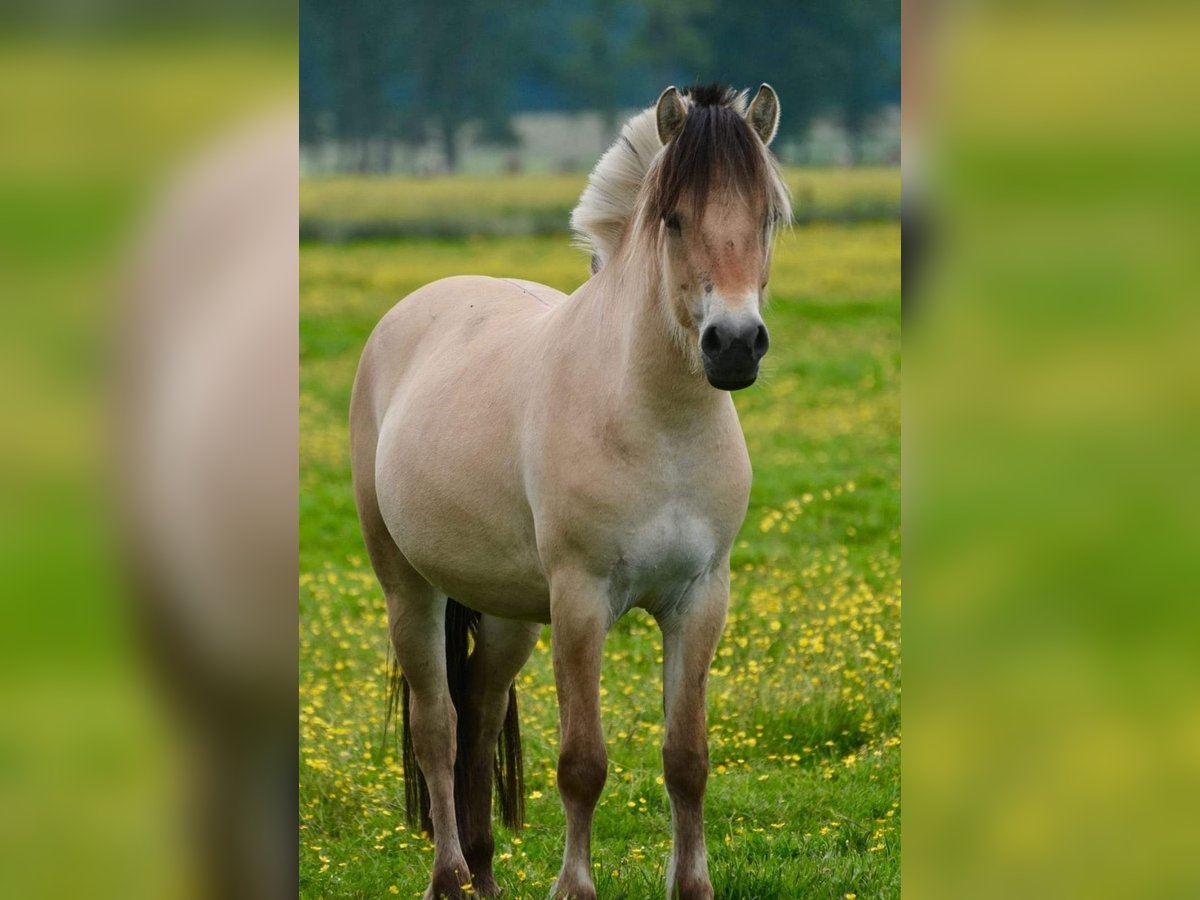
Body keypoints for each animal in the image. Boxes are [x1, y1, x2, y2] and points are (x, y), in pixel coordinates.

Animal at [350, 84, 792, 900]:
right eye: (673, 217)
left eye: (767, 216)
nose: (735, 345)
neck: (655, 424)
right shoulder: (582, 601)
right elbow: (582, 763)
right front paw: (574, 887)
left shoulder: (701, 600)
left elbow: (687, 759)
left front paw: (692, 886)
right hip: (408, 588)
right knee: (437, 726)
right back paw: (450, 876)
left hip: (507, 612)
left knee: (479, 713)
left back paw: (485, 875)